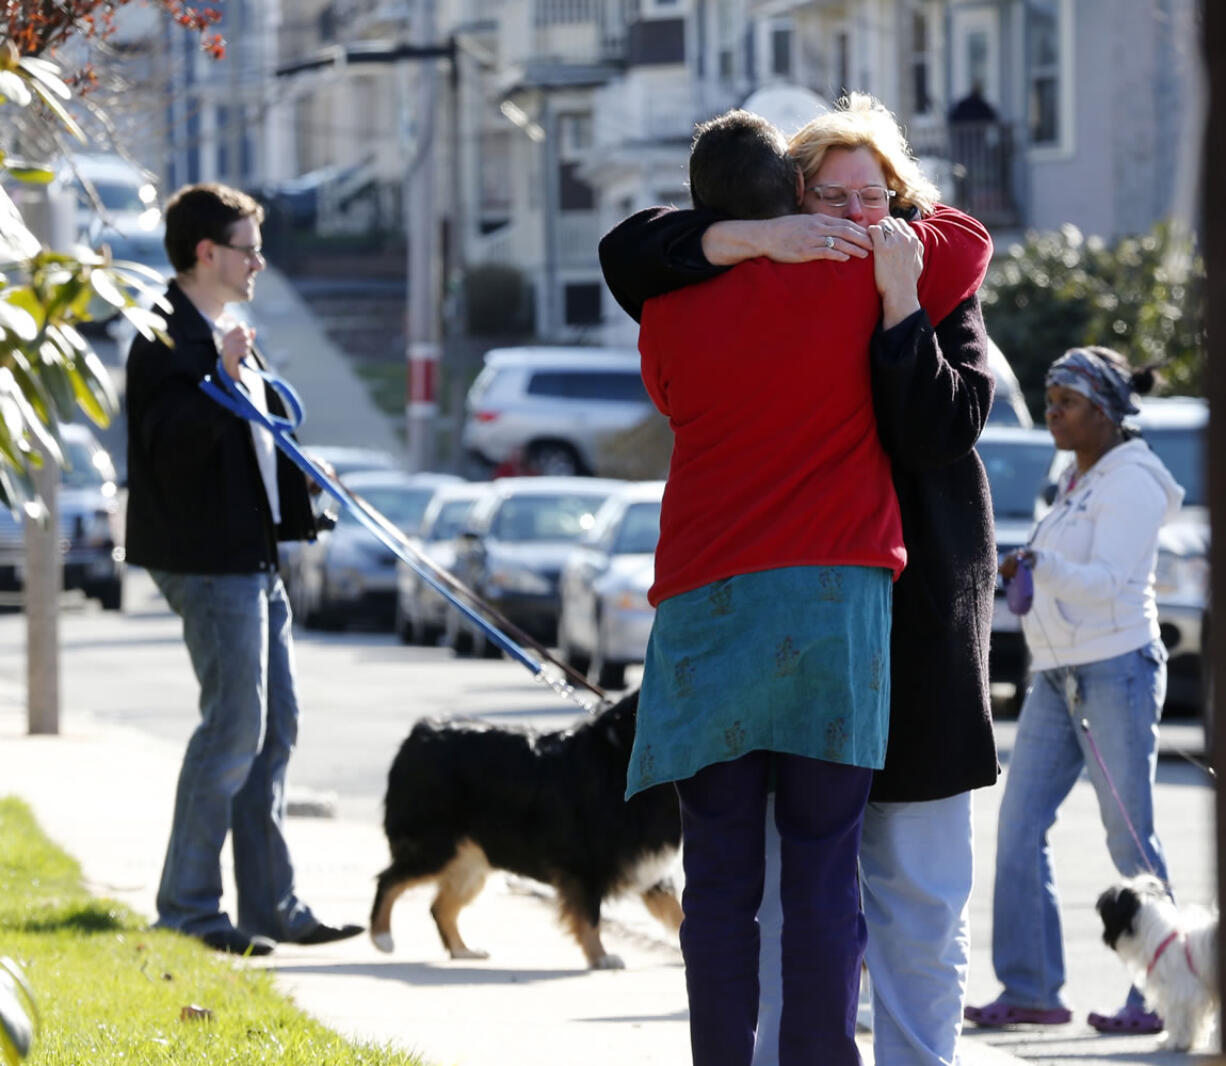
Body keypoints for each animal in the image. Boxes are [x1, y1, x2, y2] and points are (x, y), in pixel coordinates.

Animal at [367, 686, 686, 971]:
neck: (622, 753)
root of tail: (418, 733)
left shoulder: (647, 863)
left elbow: (678, 911)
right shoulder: (584, 864)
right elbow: (589, 917)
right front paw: (600, 958)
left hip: (470, 862)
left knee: (440, 906)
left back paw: (462, 950)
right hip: (436, 847)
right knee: (389, 880)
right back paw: (382, 937)